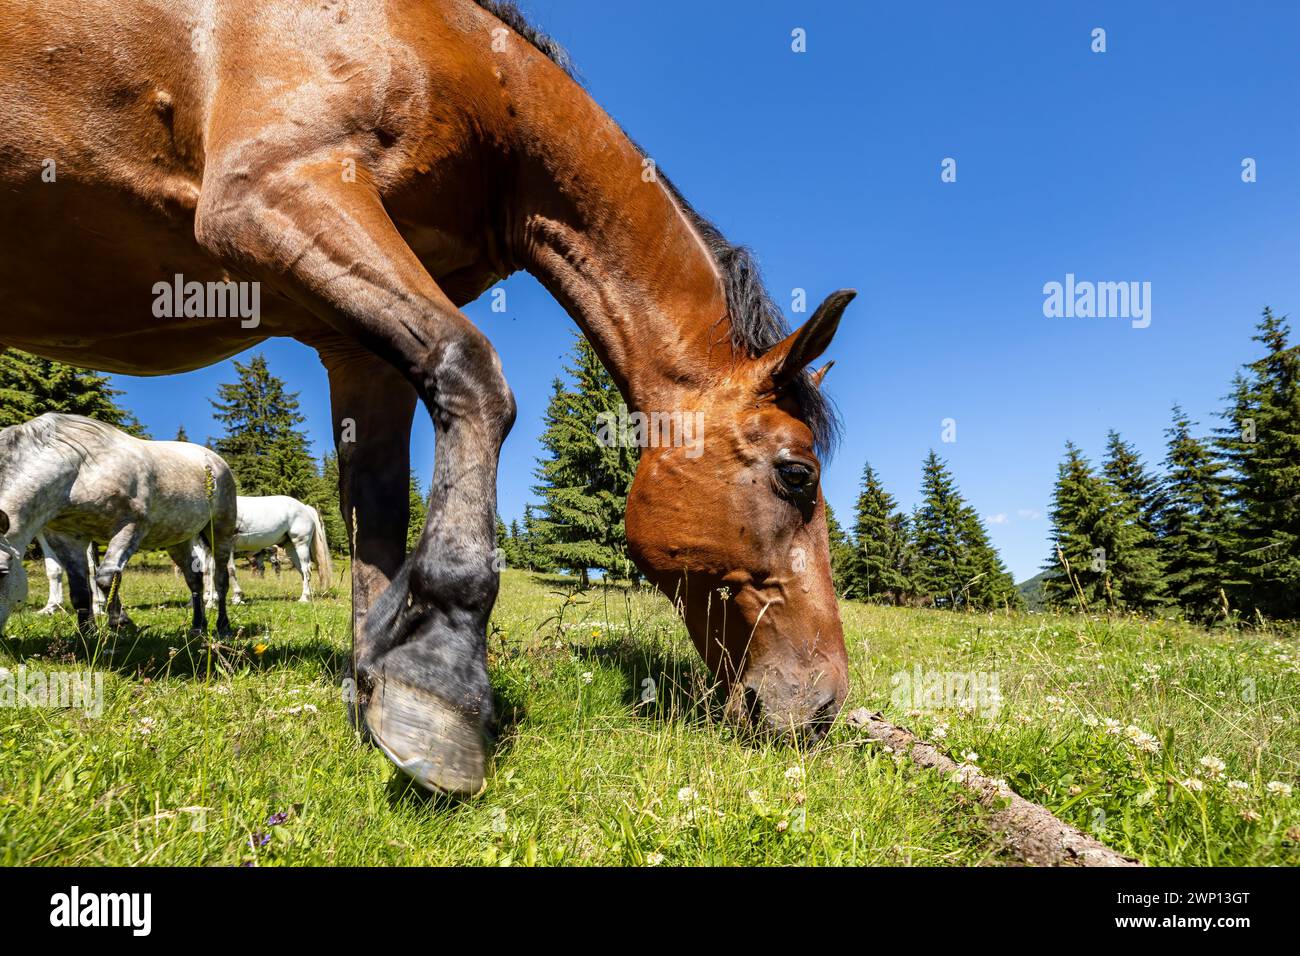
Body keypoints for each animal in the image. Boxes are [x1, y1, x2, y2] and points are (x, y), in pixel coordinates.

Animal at [0, 415, 238, 636]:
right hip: (177, 539)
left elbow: (106, 578)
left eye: (3, 572)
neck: (80, 470)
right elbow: (80, 590)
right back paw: (198, 627)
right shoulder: (66, 537)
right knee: (194, 579)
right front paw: (88, 633)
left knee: (221, 578)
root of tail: (214, 460)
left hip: (220, 531)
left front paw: (120, 622)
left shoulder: (130, 527)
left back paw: (224, 627)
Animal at [195, 495, 333, 605]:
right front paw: (211, 600)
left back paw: (304, 598)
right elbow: (209, 571)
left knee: (305, 569)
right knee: (302, 571)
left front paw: (237, 597)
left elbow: (229, 570)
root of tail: (305, 507)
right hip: (291, 548)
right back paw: (308, 595)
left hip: (301, 544)